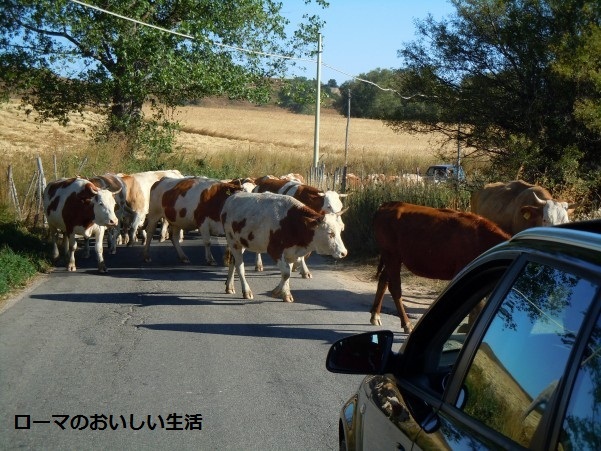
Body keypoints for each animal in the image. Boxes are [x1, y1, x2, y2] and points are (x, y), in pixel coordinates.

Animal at [372, 201, 508, 332]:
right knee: (395, 288)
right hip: (391, 255)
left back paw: (375, 316)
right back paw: (406, 323)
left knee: (383, 280)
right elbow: (479, 305)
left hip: (393, 258)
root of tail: (387, 204)